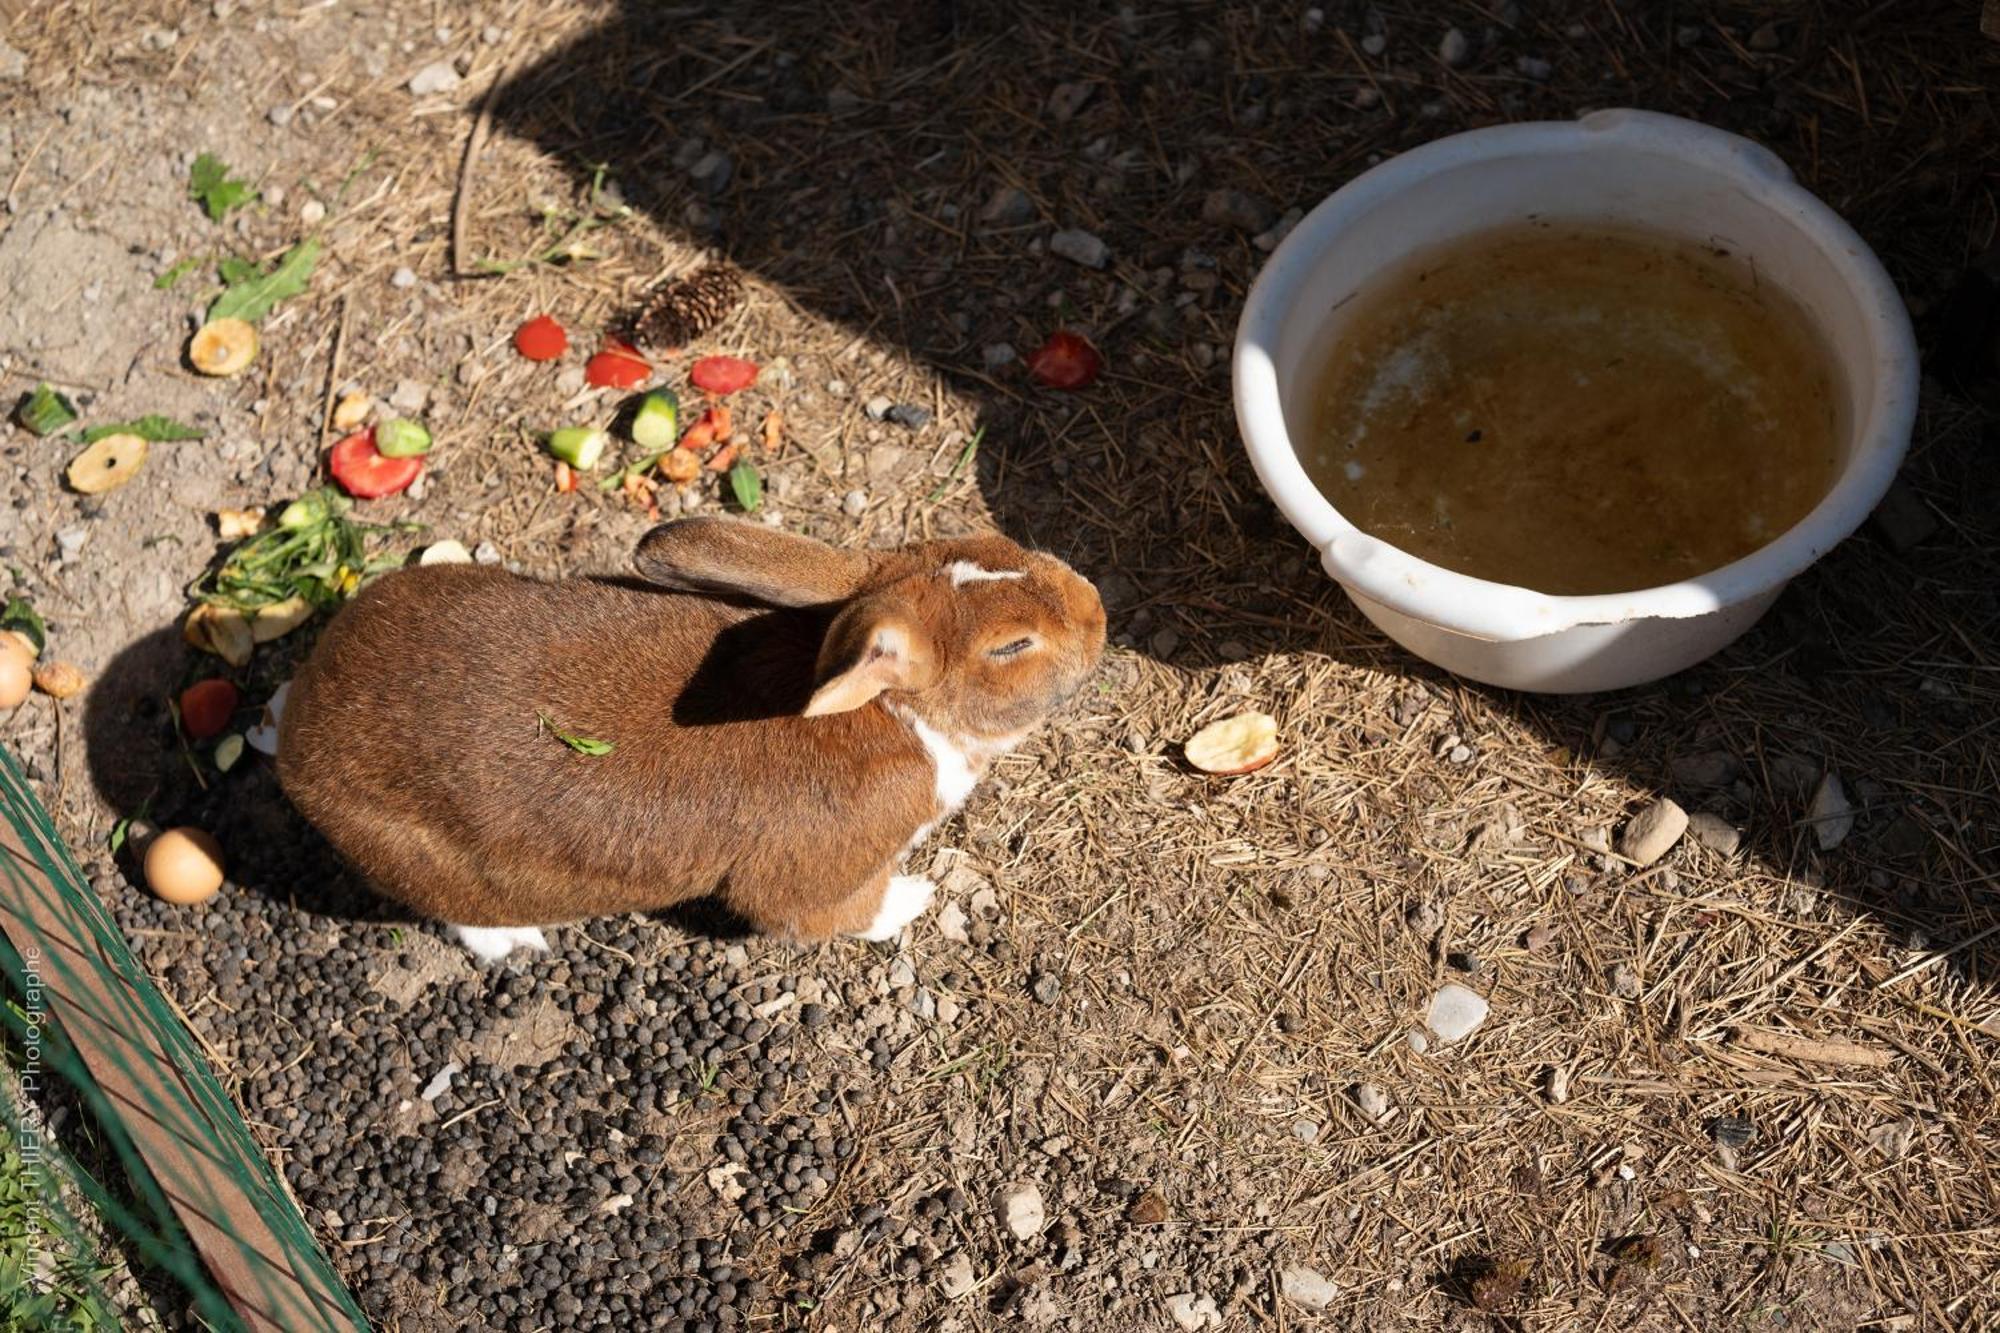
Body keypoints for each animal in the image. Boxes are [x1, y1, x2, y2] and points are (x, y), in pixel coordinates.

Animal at [270, 516, 1112, 956]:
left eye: (997, 541)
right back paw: (517, 943)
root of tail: (300, 744)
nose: (1098, 612)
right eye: (1011, 646)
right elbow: (830, 914)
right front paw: (915, 899)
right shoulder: (815, 878)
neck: (902, 712)